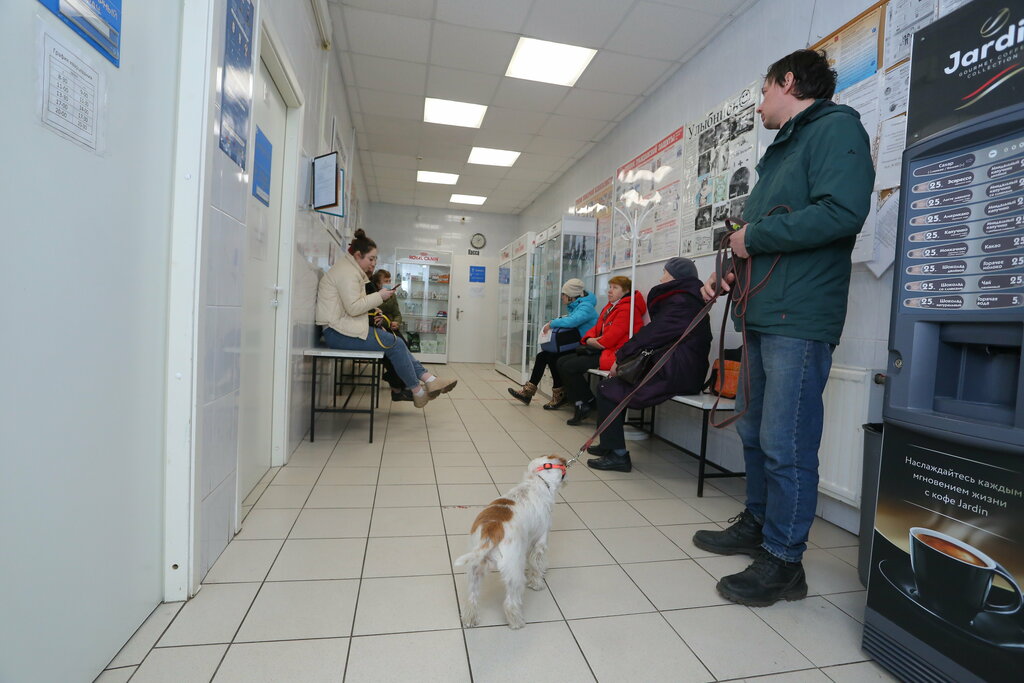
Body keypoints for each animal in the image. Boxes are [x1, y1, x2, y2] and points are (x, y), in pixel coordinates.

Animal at [456, 454, 569, 630]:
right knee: (510, 602)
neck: (537, 480)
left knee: (471, 597)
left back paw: (469, 618)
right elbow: (537, 563)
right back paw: (517, 622)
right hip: (514, 572)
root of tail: (492, 529)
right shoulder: (541, 541)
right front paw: (537, 581)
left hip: (475, 569)